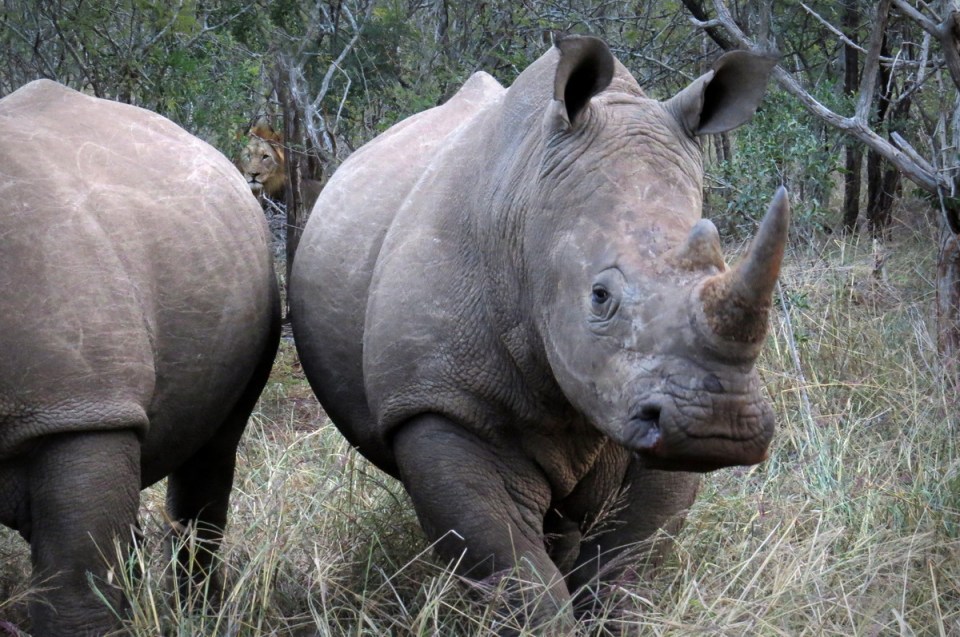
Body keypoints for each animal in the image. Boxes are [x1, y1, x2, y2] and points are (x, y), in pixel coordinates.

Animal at [290, 36, 787, 629]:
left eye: (720, 265)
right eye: (600, 296)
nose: (718, 424)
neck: (529, 219)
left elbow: (624, 568)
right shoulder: (441, 401)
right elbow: (519, 579)